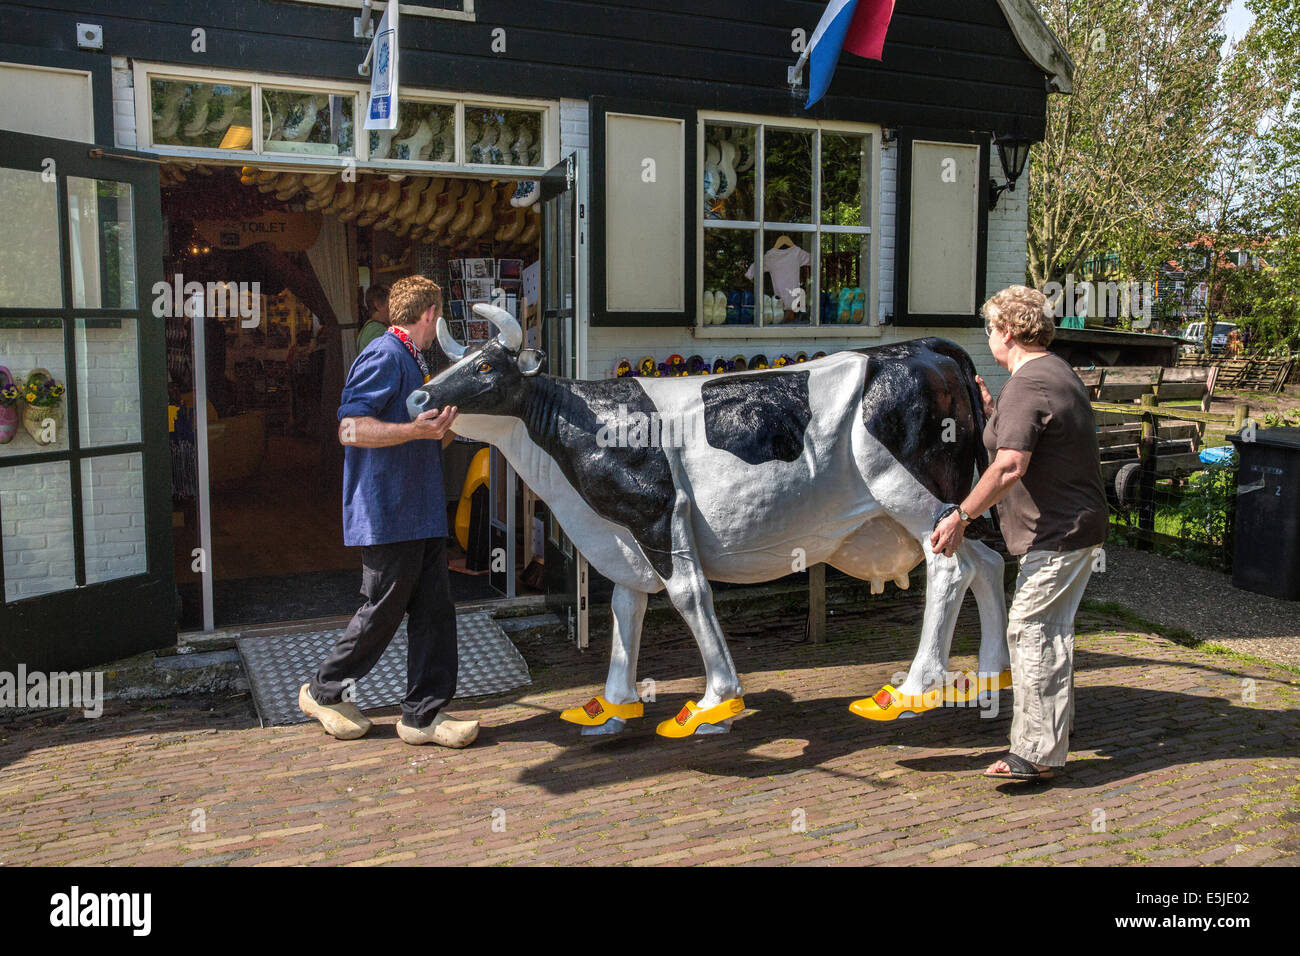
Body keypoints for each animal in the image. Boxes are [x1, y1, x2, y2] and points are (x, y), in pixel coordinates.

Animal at [410, 306, 1008, 738]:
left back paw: (910, 692)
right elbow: (625, 608)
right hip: (954, 505)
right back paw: (990, 675)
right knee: (987, 562)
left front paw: (714, 702)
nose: (419, 395)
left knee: (949, 569)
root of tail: (926, 347)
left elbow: (690, 596)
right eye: (452, 363)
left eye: (485, 367)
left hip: (914, 495)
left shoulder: (657, 513)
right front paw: (611, 705)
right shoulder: (621, 535)